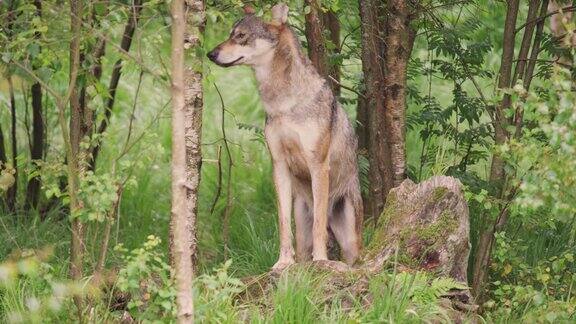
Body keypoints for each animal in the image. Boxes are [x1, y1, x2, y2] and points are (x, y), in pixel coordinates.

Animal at [205, 3, 362, 270]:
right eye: (229, 34)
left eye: (241, 36)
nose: (210, 54)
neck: (283, 104)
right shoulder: (278, 165)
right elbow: (282, 223)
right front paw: (282, 262)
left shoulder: (318, 165)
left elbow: (319, 224)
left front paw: (321, 260)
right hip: (302, 222)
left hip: (351, 240)